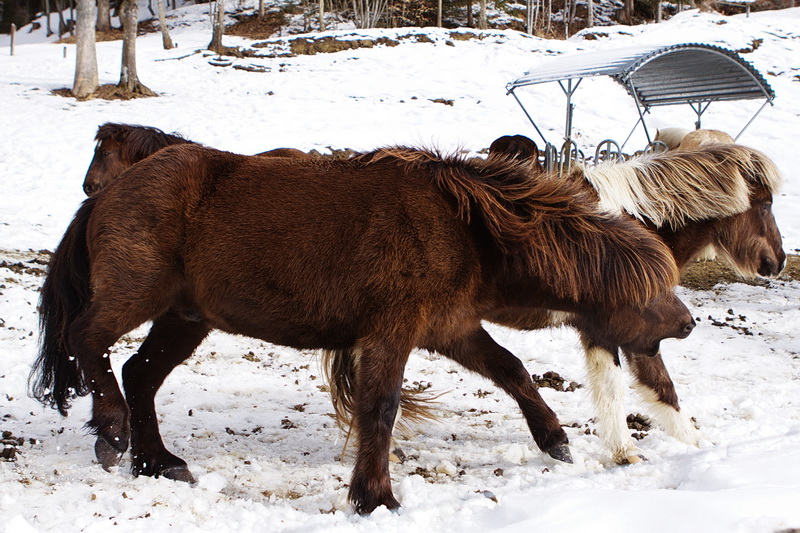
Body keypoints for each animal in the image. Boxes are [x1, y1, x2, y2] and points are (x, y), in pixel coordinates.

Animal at [31, 143, 692, 512]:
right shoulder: (392, 334)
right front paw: (375, 497)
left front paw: (554, 438)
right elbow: (380, 407)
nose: (687, 323)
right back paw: (111, 431)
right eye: (650, 288)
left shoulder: (451, 327)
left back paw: (157, 462)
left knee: (139, 374)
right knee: (86, 341)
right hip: (137, 294)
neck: (466, 230)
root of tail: (106, 194)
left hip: (185, 318)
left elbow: (513, 371)